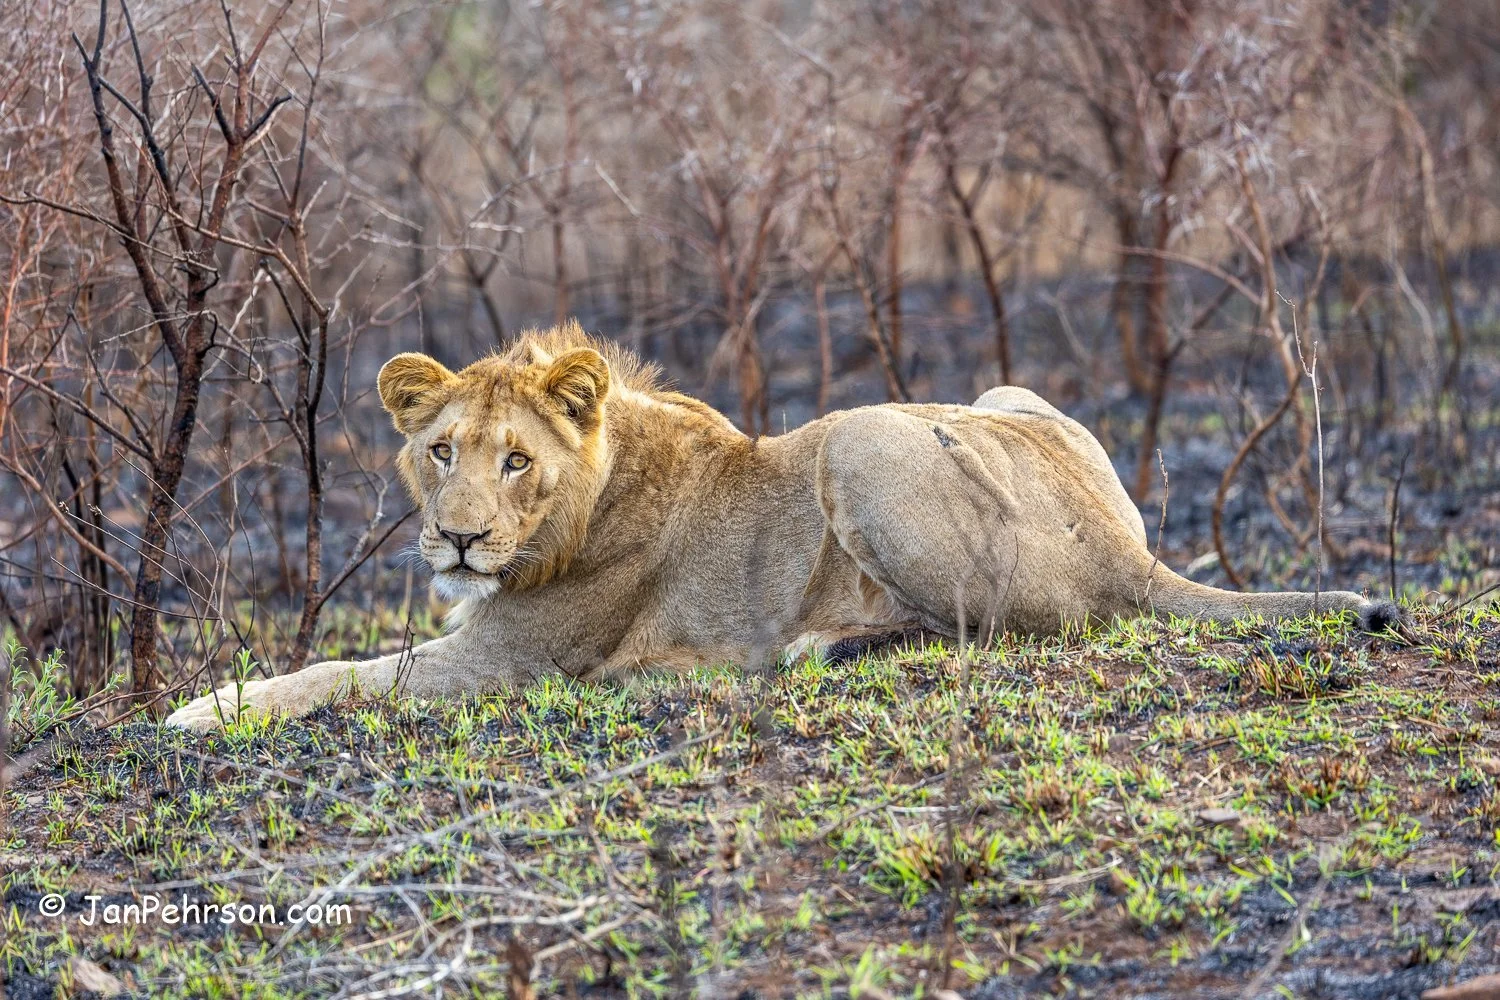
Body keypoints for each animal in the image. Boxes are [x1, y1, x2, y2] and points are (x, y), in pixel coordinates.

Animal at [166, 320, 1399, 730]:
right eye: (440, 452)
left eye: (517, 460)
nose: (460, 540)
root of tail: (1129, 548)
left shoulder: (507, 663)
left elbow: (339, 672)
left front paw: (207, 706)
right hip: (1000, 396)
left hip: (858, 435)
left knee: (1004, 626)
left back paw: (814, 648)